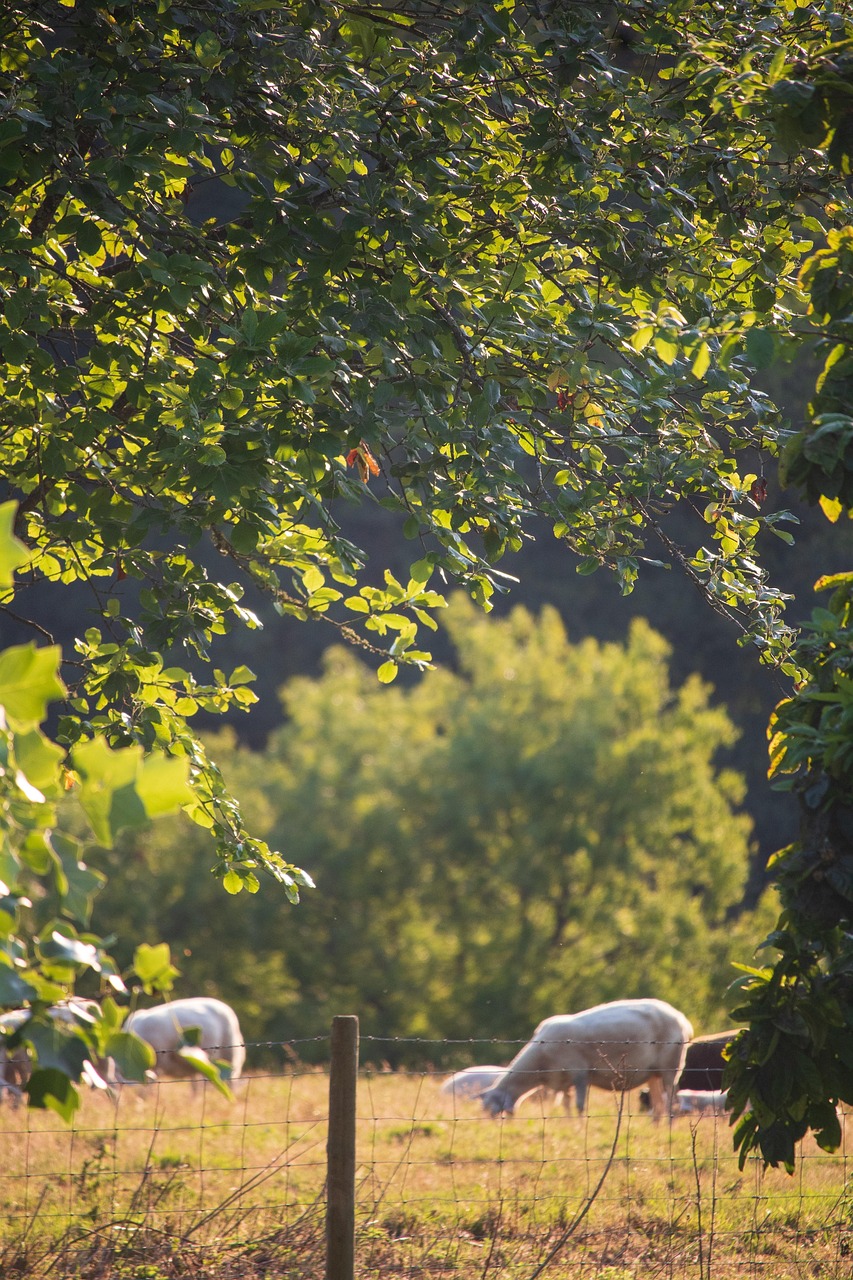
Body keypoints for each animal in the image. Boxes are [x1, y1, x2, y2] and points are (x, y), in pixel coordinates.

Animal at [481, 998, 693, 1123]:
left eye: (492, 1110)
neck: (539, 1061)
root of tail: (682, 1020)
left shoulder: (579, 1073)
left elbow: (579, 1105)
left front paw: (581, 1127)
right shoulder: (562, 1080)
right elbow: (567, 1105)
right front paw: (570, 1126)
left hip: (671, 1066)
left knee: (672, 1103)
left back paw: (669, 1128)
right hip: (653, 1073)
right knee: (659, 1105)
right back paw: (655, 1128)